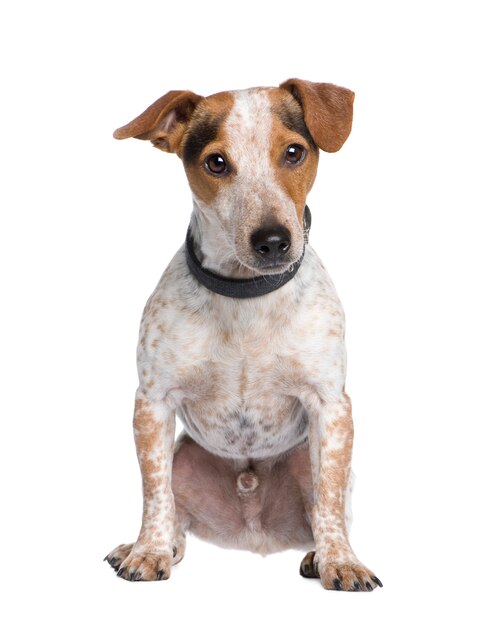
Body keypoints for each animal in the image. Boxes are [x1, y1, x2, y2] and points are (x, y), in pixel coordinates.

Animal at [105, 78, 382, 588]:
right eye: (216, 162)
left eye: (294, 152)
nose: (273, 241)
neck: (246, 296)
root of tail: (254, 530)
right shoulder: (152, 404)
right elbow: (154, 494)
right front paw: (147, 551)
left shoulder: (331, 407)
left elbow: (330, 501)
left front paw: (341, 561)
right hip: (184, 458)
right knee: (174, 516)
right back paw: (148, 547)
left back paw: (317, 555)